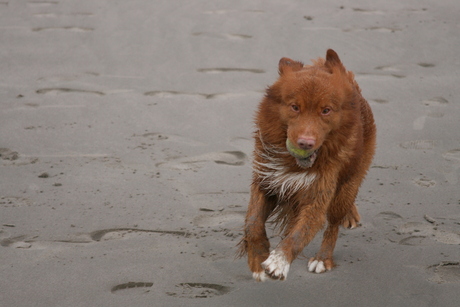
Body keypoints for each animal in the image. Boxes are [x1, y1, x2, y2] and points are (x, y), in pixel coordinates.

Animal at [239, 48, 376, 282]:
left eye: (326, 110)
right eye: (295, 107)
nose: (305, 143)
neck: (295, 163)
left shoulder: (316, 199)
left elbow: (298, 234)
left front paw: (279, 261)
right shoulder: (267, 180)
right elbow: (253, 222)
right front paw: (257, 259)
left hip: (349, 183)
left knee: (333, 224)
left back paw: (323, 258)